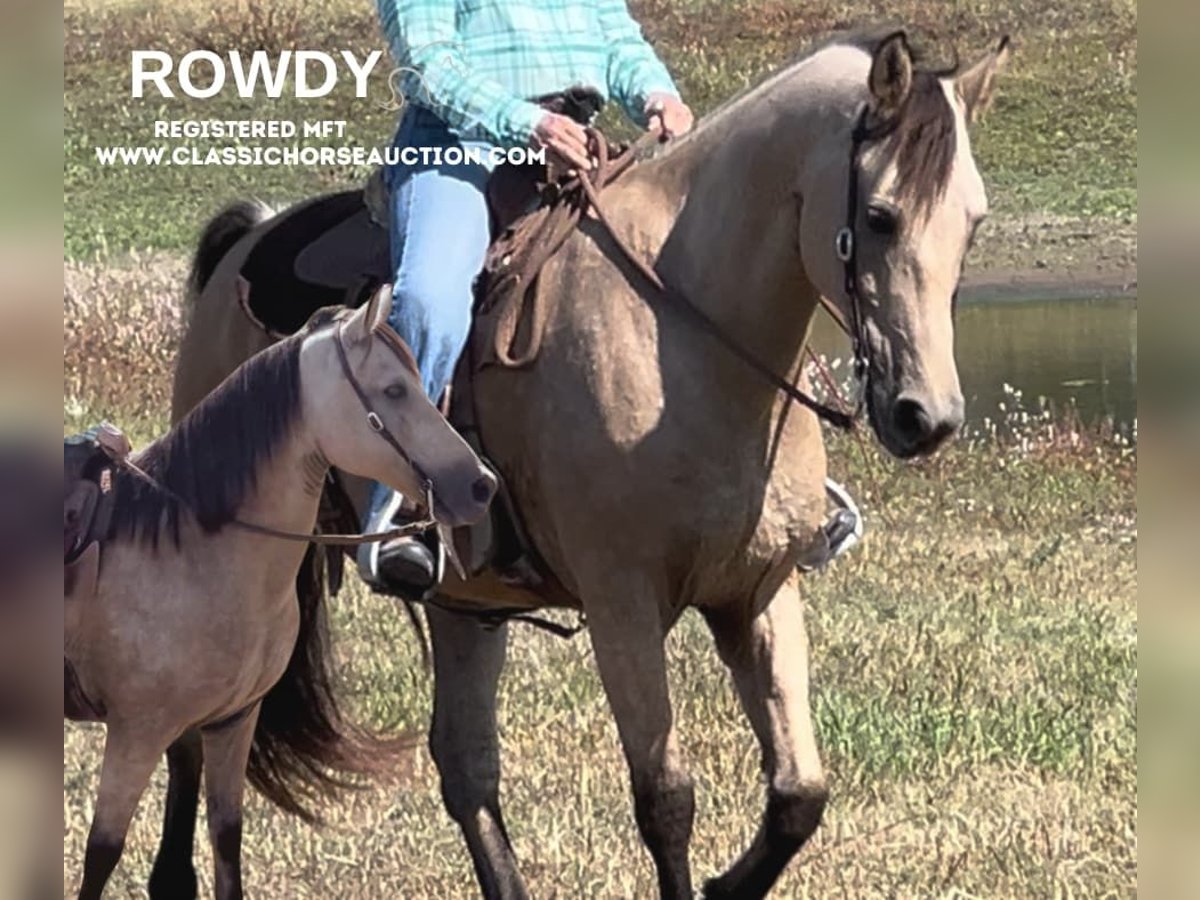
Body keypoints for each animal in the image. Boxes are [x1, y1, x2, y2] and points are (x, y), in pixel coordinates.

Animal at [64, 290, 496, 900]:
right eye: (393, 390)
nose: (481, 485)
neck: (189, 549)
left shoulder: (232, 722)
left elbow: (226, 841)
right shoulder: (137, 732)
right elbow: (101, 855)